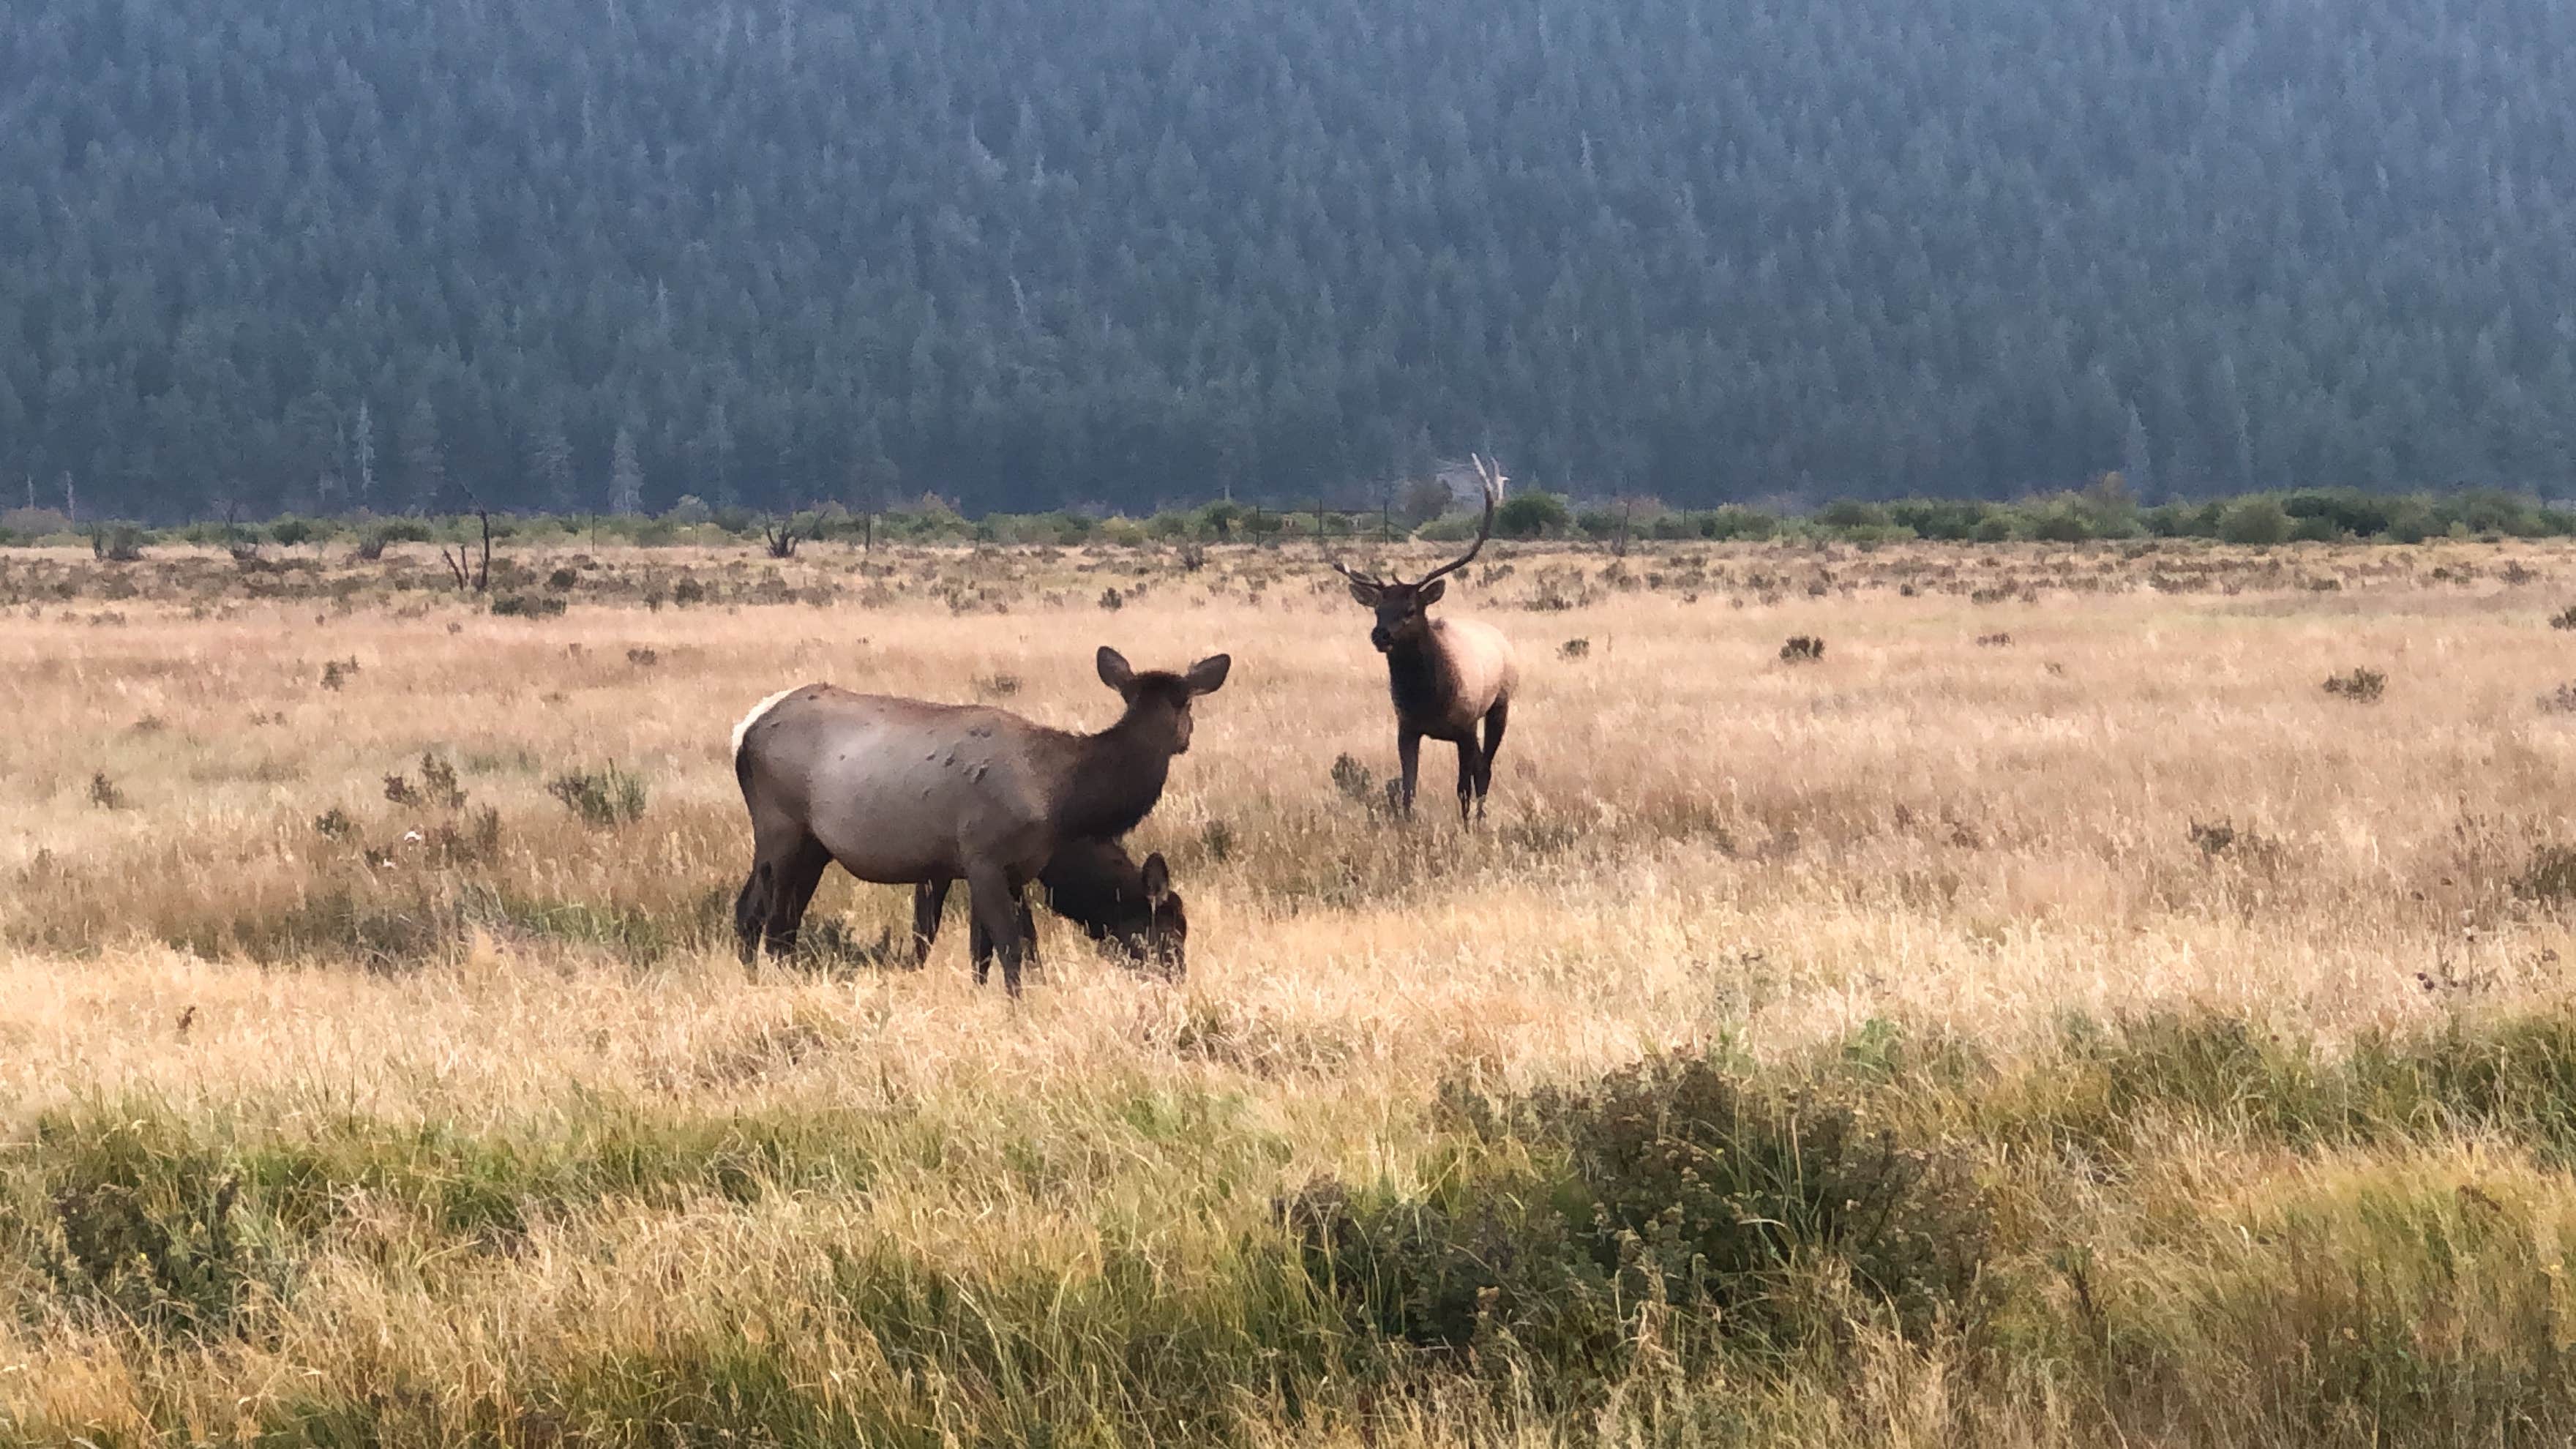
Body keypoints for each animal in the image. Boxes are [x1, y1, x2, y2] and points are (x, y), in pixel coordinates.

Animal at [1339, 451, 1514, 820]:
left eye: (1410, 610)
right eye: (1377, 609)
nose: (1380, 635)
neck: (1428, 698)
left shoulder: (1464, 726)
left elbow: (1464, 786)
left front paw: (1467, 826)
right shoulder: (1406, 727)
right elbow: (1408, 789)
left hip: (1500, 704)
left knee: (1485, 769)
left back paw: (1481, 818)